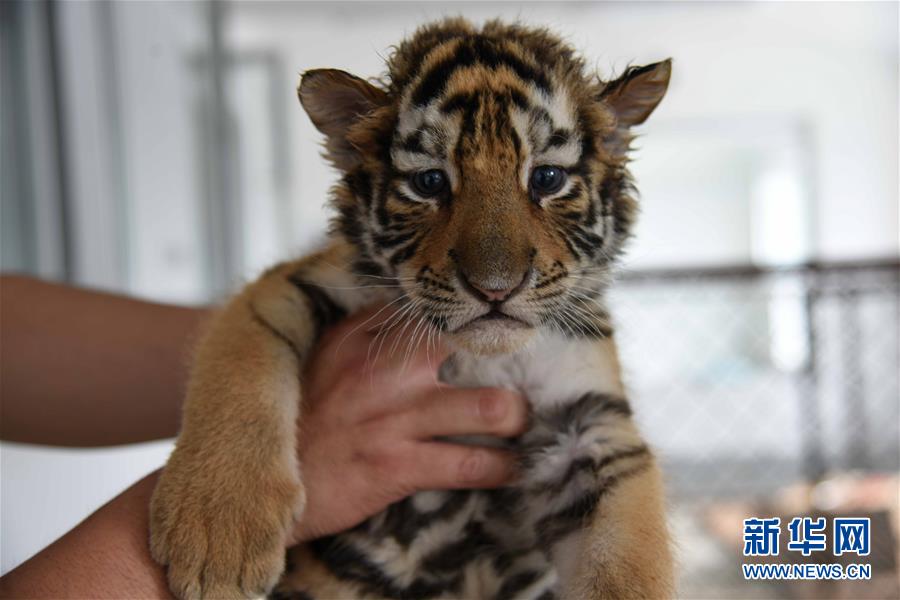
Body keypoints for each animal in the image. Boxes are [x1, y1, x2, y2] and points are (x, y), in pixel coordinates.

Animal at [149, 17, 673, 600]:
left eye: (547, 179)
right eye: (429, 183)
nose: (495, 289)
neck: (483, 358)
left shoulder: (587, 423)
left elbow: (624, 561)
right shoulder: (289, 285)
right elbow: (240, 364)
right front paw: (216, 533)